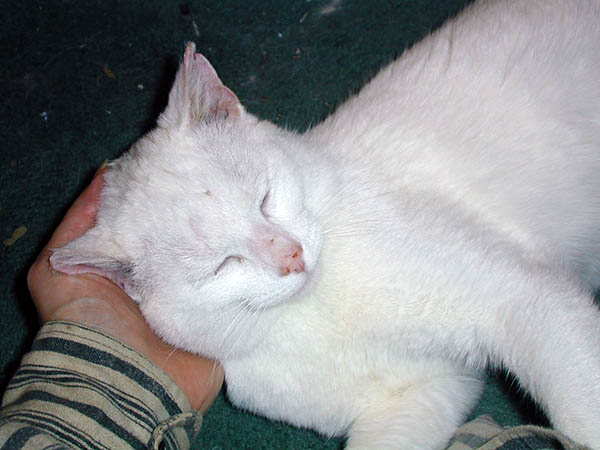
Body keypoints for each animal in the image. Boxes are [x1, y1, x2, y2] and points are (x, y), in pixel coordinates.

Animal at [49, 0, 600, 448]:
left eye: (265, 199)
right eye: (223, 265)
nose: (292, 256)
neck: (313, 315)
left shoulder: (523, 296)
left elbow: (580, 411)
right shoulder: (427, 393)